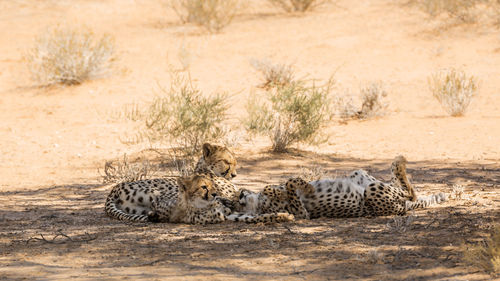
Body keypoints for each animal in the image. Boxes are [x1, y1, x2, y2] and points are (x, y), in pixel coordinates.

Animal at [104, 143, 239, 222]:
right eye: (226, 162)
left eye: (235, 163)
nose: (234, 175)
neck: (205, 169)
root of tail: (116, 188)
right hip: (161, 193)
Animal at [150, 172, 294, 224]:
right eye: (203, 187)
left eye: (212, 185)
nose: (215, 194)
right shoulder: (224, 216)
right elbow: (252, 217)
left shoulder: (229, 212)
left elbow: (258, 216)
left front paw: (283, 216)